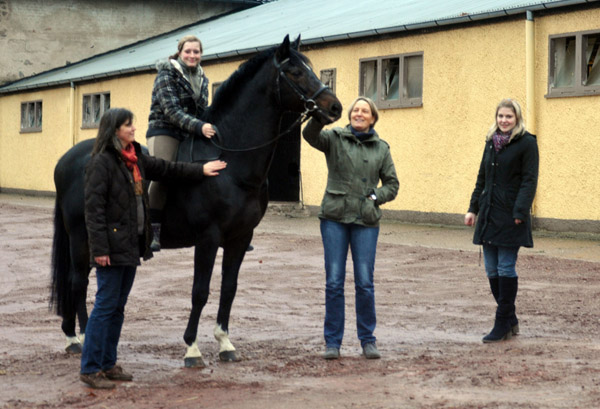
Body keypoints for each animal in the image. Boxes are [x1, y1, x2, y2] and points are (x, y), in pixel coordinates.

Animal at [50, 35, 342, 366]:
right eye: (295, 72)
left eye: (311, 68)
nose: (334, 107)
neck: (230, 161)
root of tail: (67, 160)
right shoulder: (208, 237)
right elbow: (200, 291)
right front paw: (192, 348)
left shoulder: (240, 238)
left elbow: (229, 289)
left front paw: (225, 343)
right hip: (82, 236)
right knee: (77, 282)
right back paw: (82, 337)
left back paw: (73, 336)